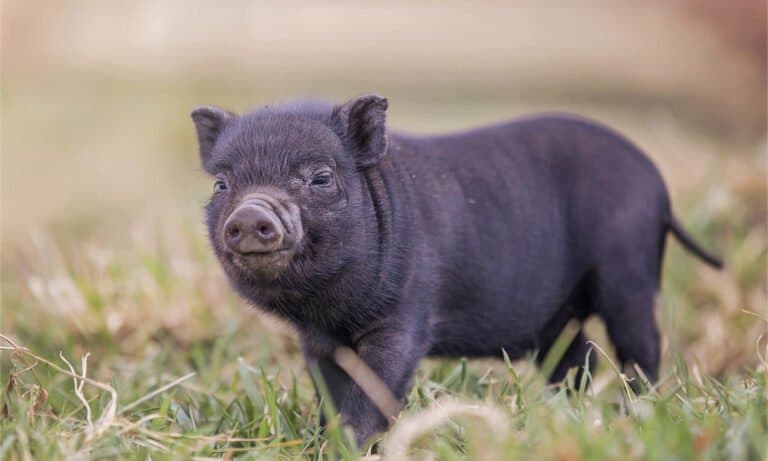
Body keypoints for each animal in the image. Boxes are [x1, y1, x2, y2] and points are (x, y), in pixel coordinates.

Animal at [191, 95, 722, 444]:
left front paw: (355, 445)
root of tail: (659, 187)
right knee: (580, 356)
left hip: (628, 267)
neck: (329, 308)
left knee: (641, 343)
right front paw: (325, 441)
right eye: (222, 184)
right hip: (557, 314)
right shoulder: (318, 339)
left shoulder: (406, 315)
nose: (250, 214)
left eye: (320, 178)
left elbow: (377, 386)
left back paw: (634, 410)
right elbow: (330, 390)